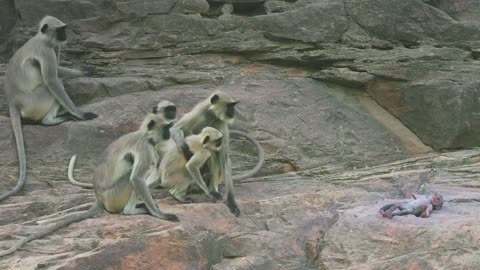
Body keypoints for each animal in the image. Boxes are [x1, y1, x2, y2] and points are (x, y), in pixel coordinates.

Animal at [0, 14, 98, 200]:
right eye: (61, 30)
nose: (65, 35)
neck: (42, 38)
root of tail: (13, 101)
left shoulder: (54, 47)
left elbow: (58, 70)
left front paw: (85, 71)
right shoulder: (46, 50)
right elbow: (52, 79)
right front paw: (80, 114)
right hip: (35, 101)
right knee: (52, 84)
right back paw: (53, 120)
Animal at [0, 113, 179, 258]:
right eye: (166, 128)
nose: (169, 134)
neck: (144, 135)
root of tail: (99, 198)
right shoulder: (145, 148)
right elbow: (136, 178)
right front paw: (160, 214)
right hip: (115, 194)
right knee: (135, 176)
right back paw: (131, 210)